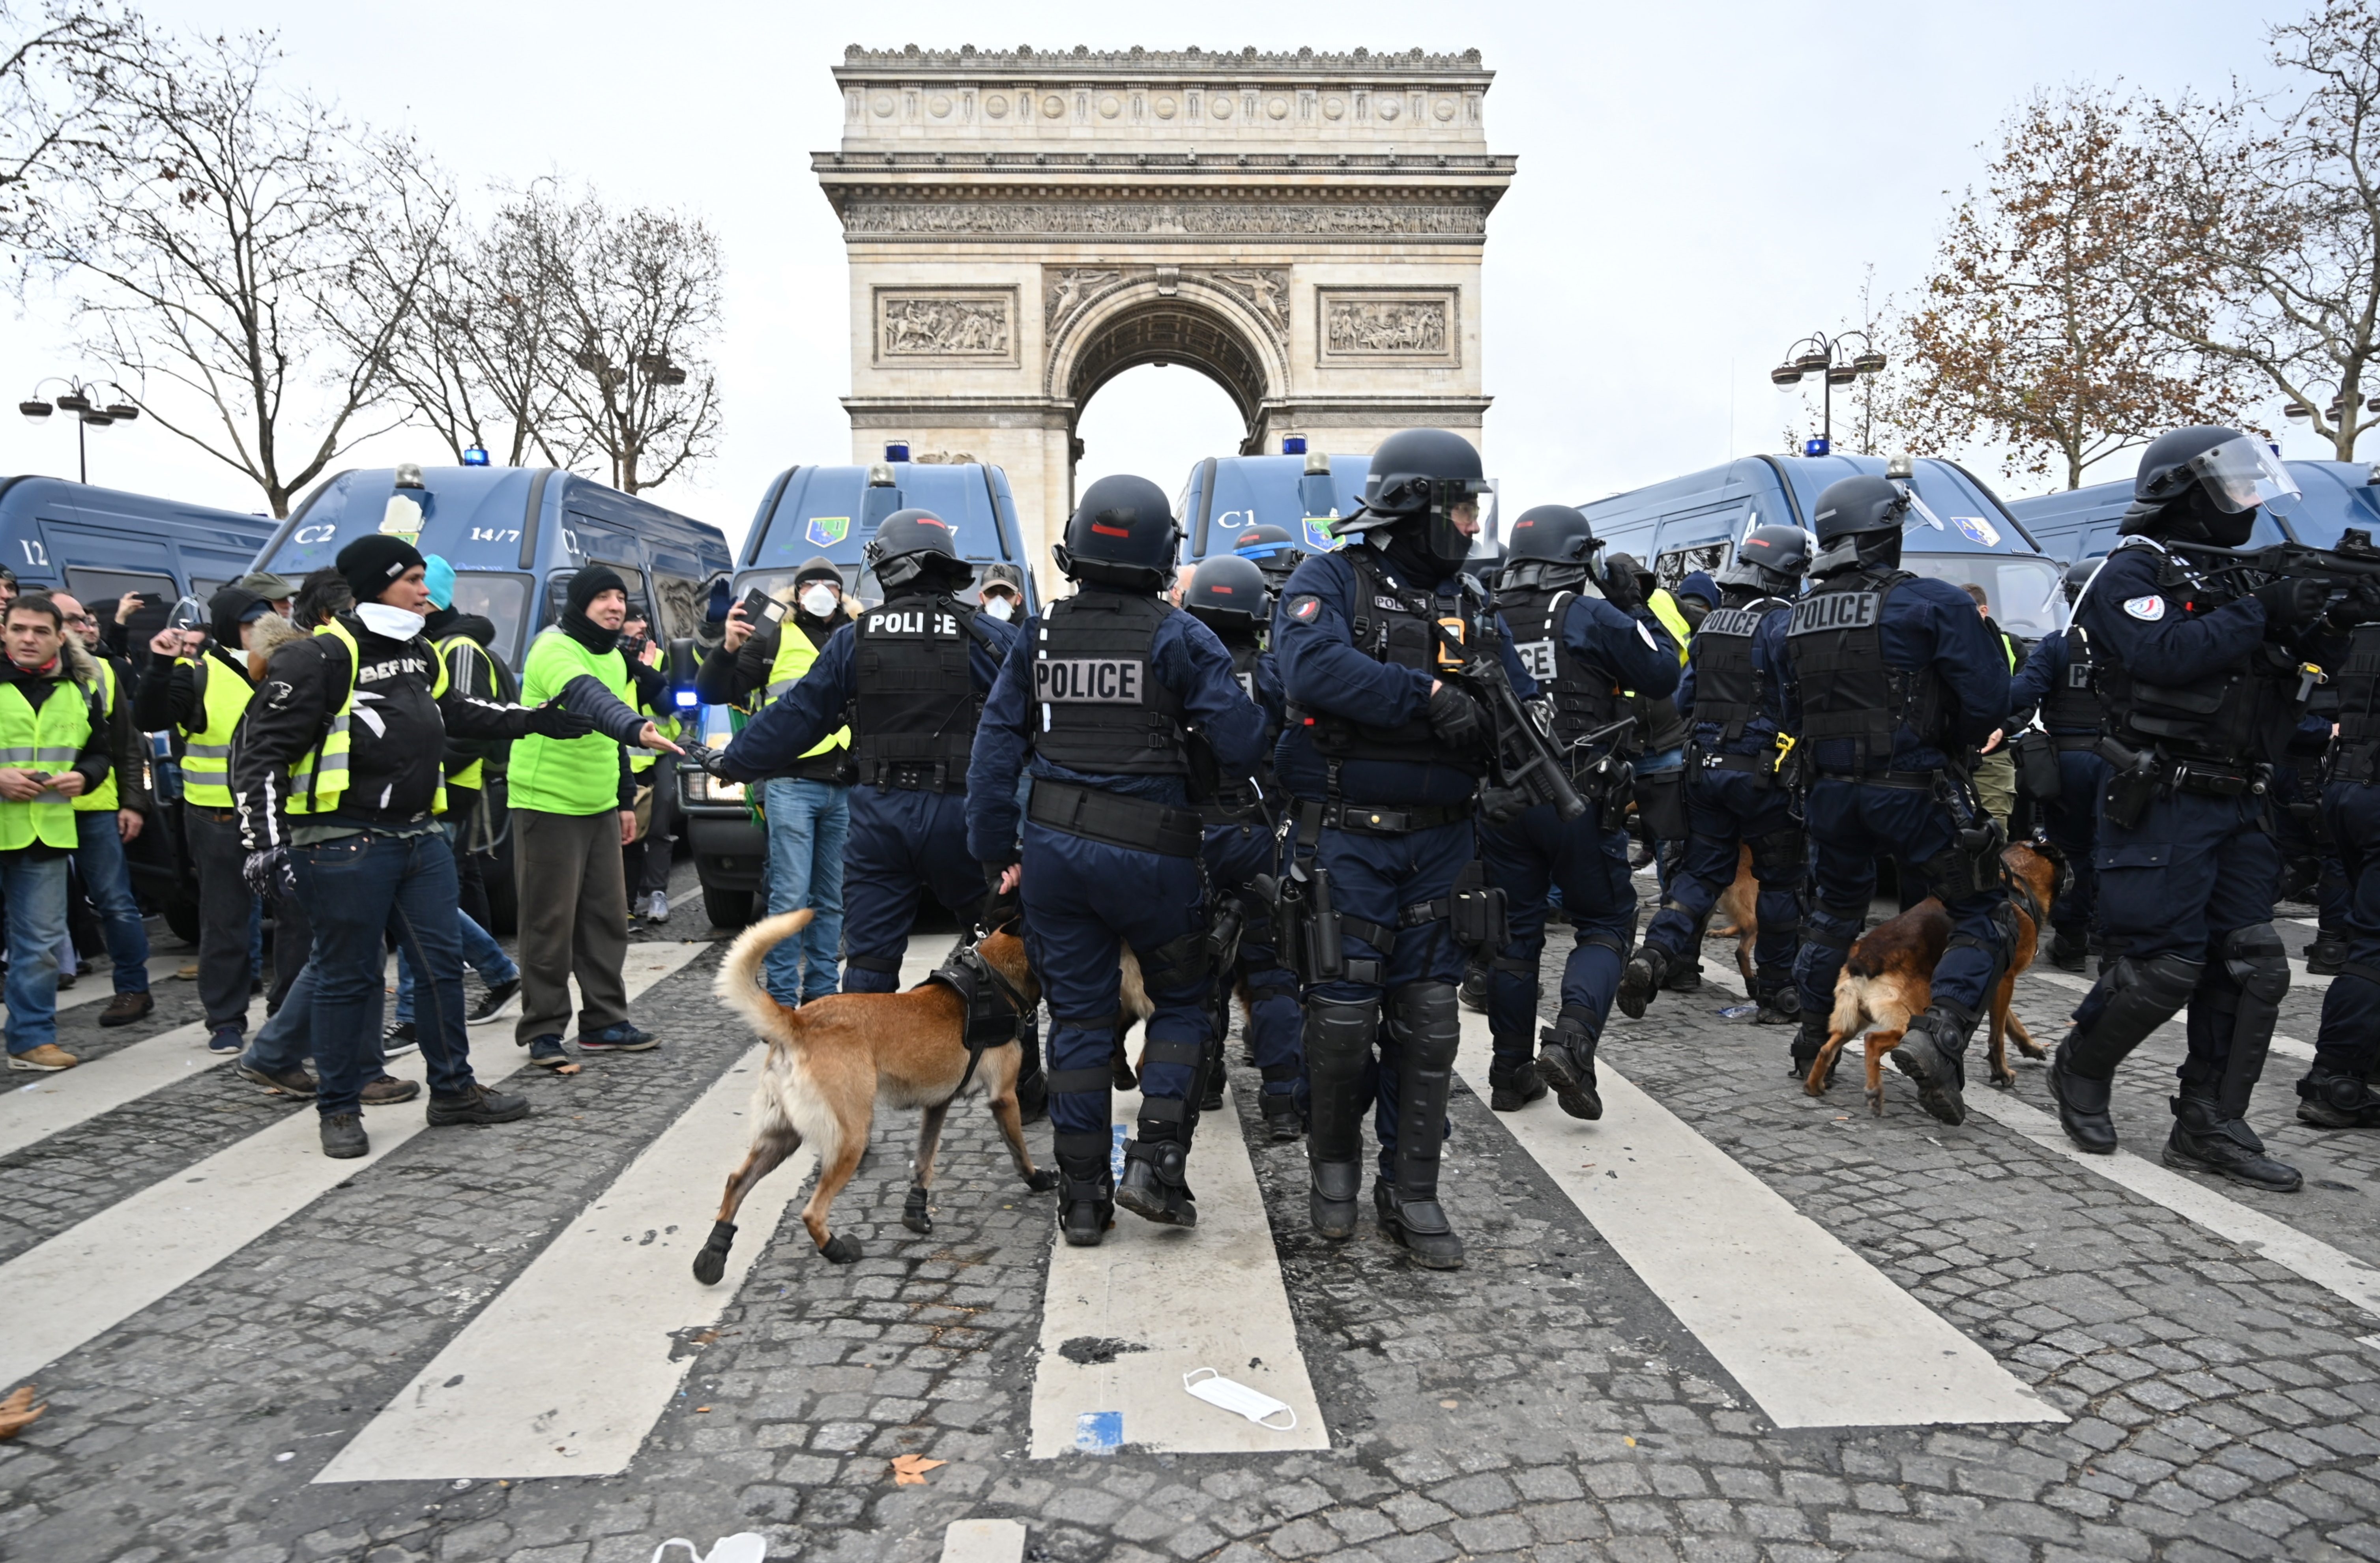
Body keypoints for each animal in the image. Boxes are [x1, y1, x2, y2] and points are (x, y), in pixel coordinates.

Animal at [695, 904, 1057, 1284]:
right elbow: (1020, 1151)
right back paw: (837, 1249)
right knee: (812, 1212)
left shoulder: (937, 1105)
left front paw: (916, 1213)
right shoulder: (1003, 1098)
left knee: (736, 1182)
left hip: (782, 1137)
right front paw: (1038, 1179)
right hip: (850, 1138)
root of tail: (799, 1023)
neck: (997, 978)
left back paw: (713, 1254)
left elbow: (924, 1162)